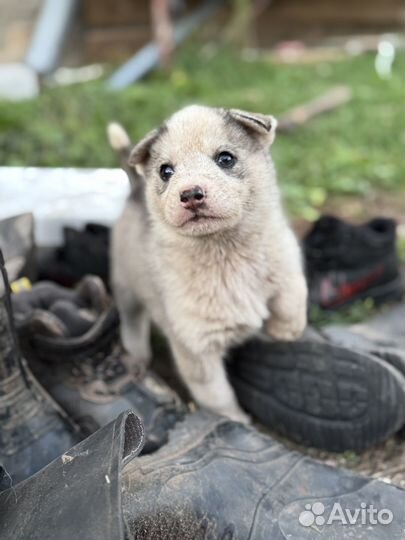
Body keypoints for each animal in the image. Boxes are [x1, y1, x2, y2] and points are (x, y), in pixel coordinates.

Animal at [107, 105, 306, 422]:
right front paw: (239, 422)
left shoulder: (286, 263)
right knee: (132, 325)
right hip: (126, 290)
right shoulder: (197, 349)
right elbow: (219, 397)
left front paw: (284, 331)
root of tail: (135, 190)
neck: (226, 251)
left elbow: (292, 299)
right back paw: (138, 358)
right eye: (166, 171)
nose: (190, 194)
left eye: (225, 158)